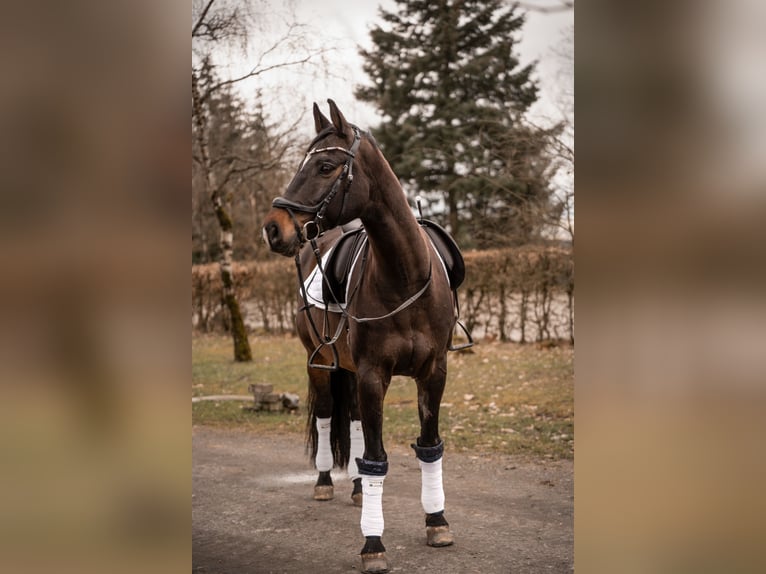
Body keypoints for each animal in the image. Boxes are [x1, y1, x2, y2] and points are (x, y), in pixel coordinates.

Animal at [260, 101, 460, 572]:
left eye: (324, 165)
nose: (273, 228)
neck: (404, 274)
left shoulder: (433, 374)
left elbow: (428, 446)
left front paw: (437, 521)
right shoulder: (372, 374)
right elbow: (376, 458)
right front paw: (373, 544)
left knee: (349, 420)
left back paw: (353, 489)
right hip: (319, 364)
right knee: (327, 415)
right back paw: (324, 481)